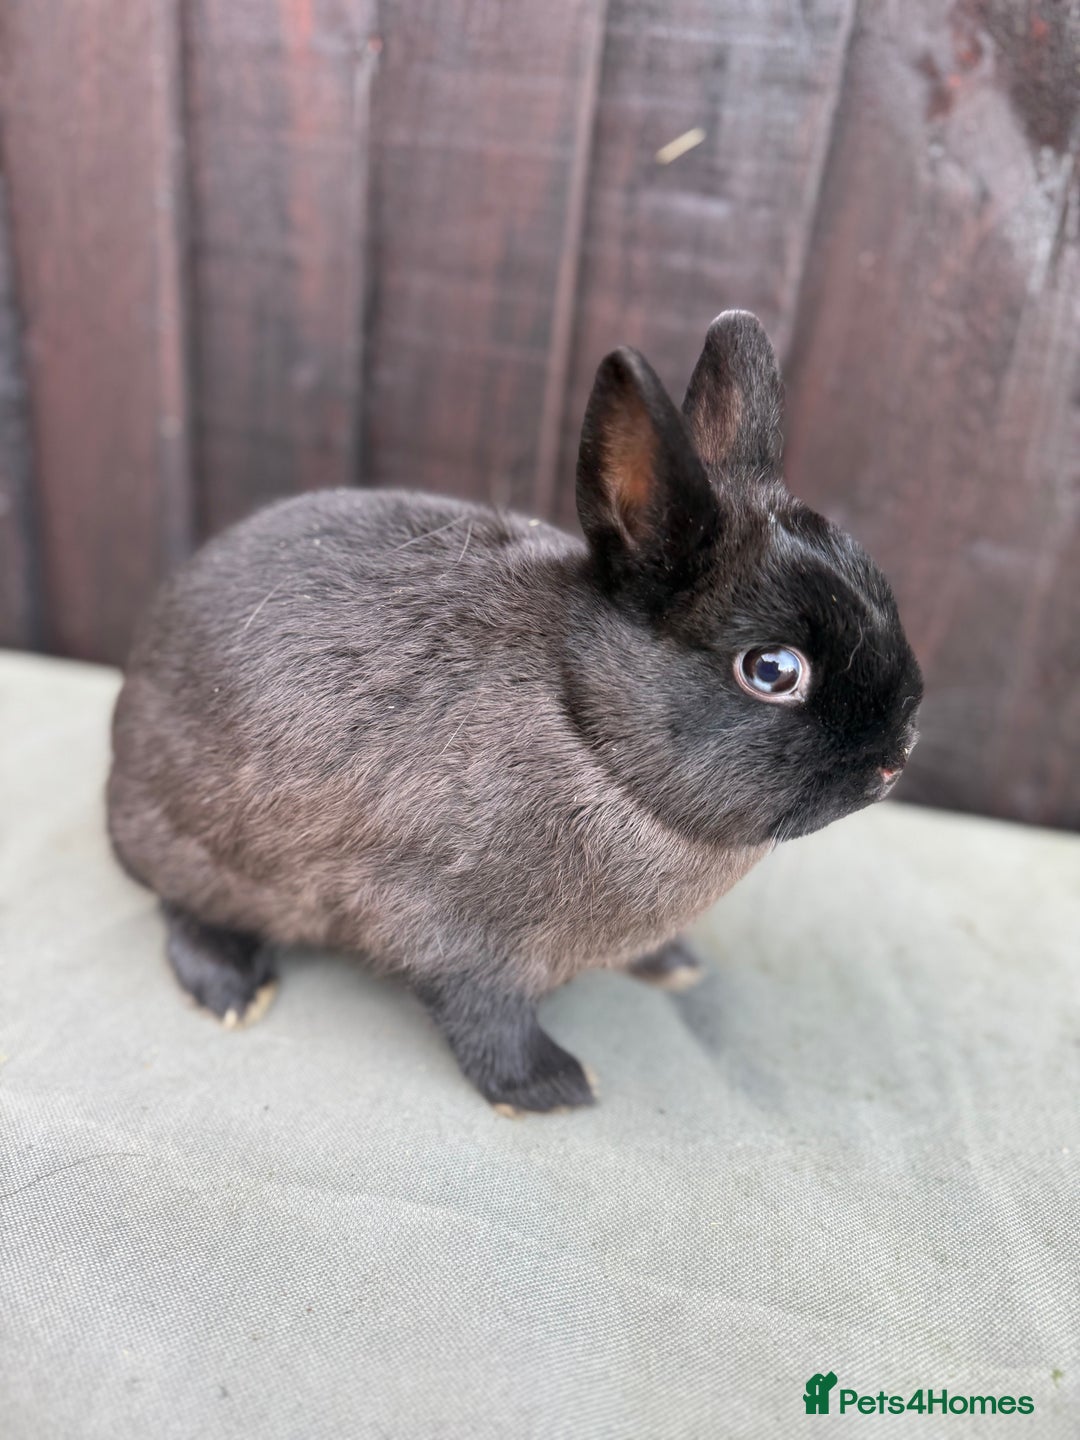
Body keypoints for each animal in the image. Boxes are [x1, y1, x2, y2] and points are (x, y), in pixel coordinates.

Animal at [107, 311, 922, 1114]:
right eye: (773, 670)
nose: (897, 757)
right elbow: (483, 1013)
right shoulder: (447, 931)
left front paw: (672, 964)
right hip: (201, 847)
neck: (588, 733)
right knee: (180, 905)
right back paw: (233, 989)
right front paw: (548, 1088)